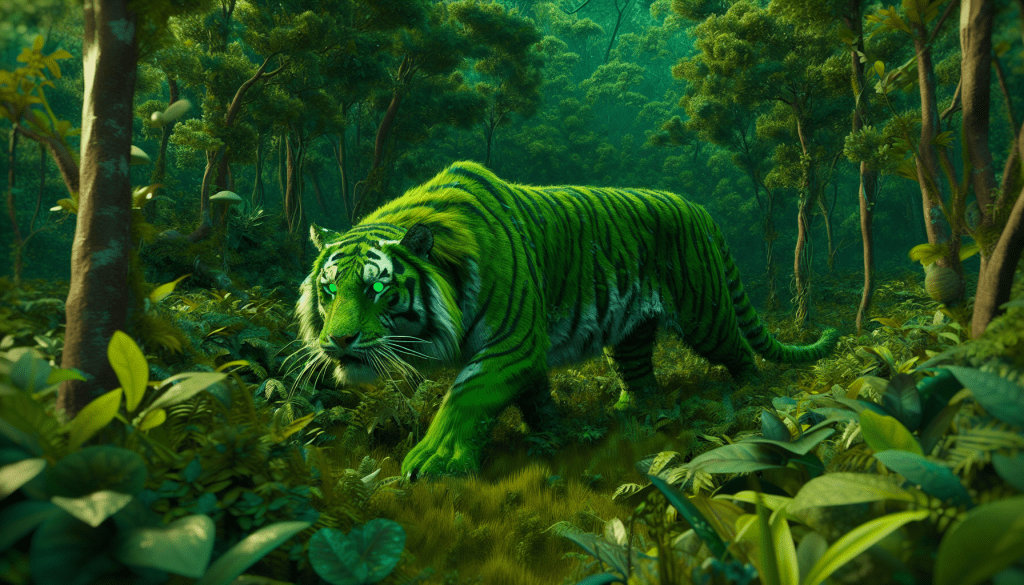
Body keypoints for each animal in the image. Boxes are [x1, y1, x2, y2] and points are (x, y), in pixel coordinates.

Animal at [296, 161, 839, 479]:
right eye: (329, 290)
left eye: (378, 289)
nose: (338, 340)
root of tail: (698, 207)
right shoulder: (524, 351)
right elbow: (534, 397)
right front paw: (552, 433)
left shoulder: (510, 343)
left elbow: (466, 397)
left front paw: (435, 462)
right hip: (631, 334)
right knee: (640, 377)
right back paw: (630, 412)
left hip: (704, 313)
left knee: (738, 350)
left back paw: (749, 395)